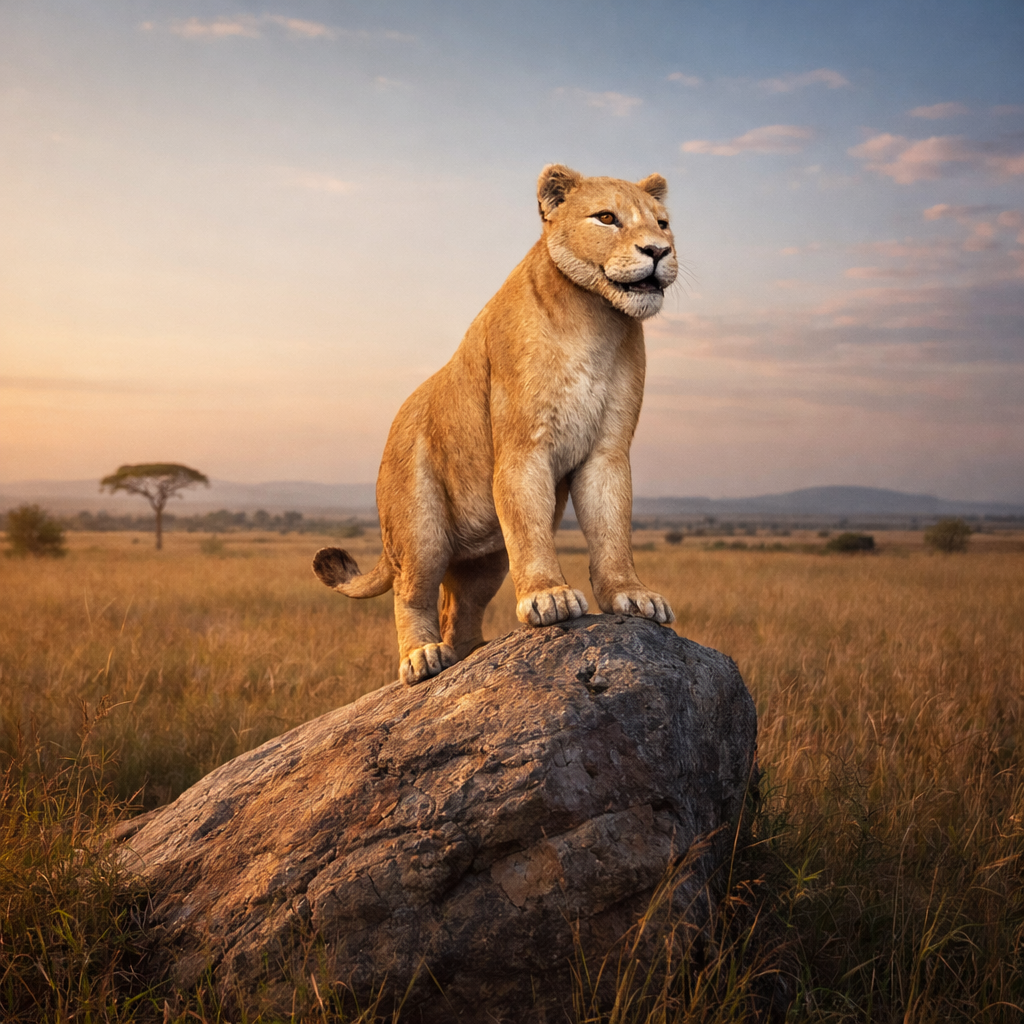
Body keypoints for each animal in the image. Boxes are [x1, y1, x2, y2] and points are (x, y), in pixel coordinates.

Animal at [313, 164, 677, 684]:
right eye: (607, 218)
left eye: (663, 224)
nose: (658, 251)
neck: (597, 319)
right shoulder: (524, 447)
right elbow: (531, 531)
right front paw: (548, 596)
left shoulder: (608, 451)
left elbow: (612, 529)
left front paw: (632, 595)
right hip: (420, 530)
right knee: (411, 595)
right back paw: (422, 658)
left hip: (486, 560)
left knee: (458, 609)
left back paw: (470, 653)